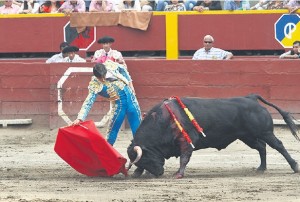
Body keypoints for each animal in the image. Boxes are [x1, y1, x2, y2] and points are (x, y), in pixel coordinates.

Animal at [125, 94, 298, 178]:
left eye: (147, 159)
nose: (159, 173)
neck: (162, 120)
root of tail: (251, 98)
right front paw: (137, 173)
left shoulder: (187, 141)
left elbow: (184, 158)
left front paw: (179, 174)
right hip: (247, 136)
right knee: (261, 147)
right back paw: (261, 168)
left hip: (265, 132)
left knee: (279, 146)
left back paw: (295, 166)